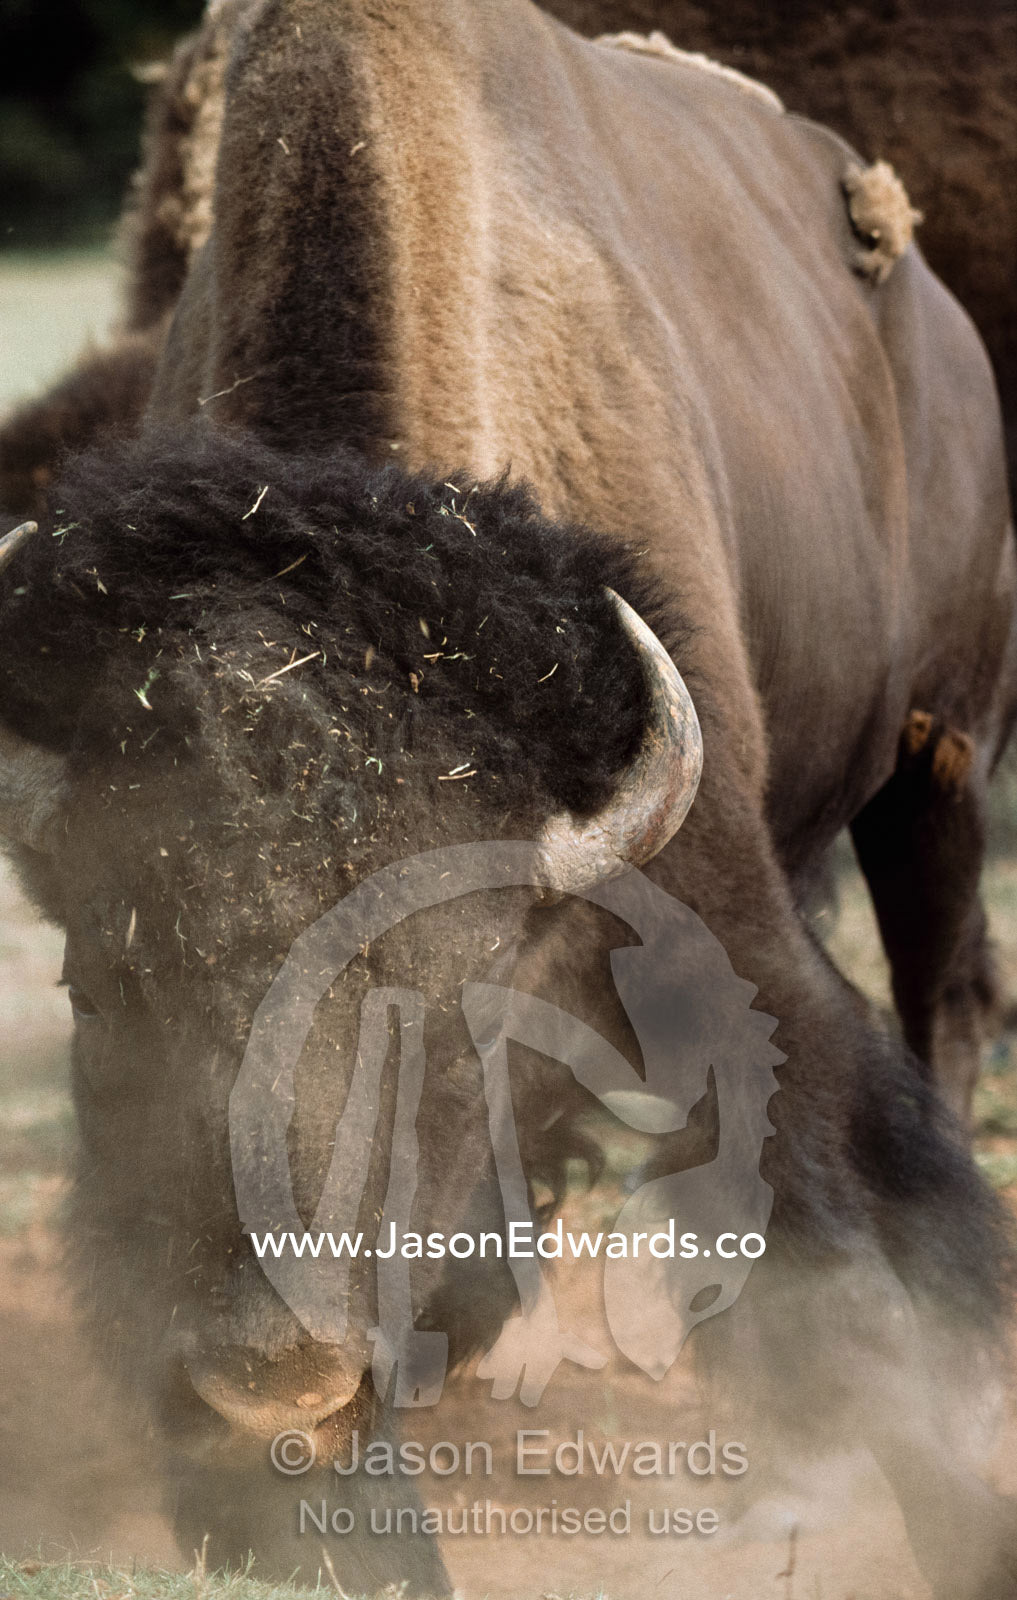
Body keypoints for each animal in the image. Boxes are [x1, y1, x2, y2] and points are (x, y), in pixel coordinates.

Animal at [1, 1, 1016, 1595]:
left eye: (440, 1017)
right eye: (99, 988)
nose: (266, 1377)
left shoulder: (721, 918)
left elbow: (834, 1251)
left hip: (939, 757)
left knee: (943, 992)